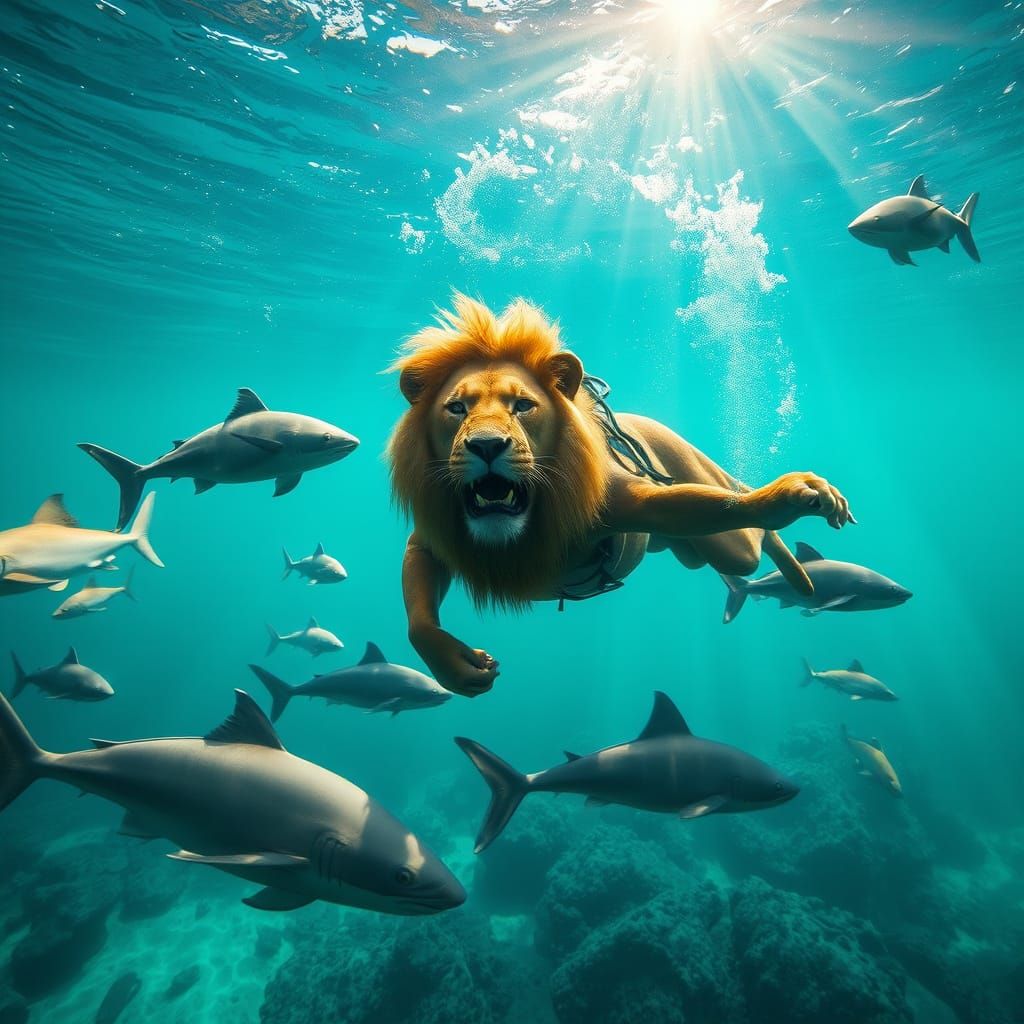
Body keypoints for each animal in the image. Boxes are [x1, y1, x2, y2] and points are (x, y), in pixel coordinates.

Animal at [388, 295, 852, 697]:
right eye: (457, 408)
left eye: (522, 405)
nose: (486, 445)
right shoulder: (433, 530)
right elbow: (419, 604)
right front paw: (456, 666)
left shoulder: (626, 501)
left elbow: (695, 507)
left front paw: (788, 498)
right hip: (685, 548)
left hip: (713, 520)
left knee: (747, 531)